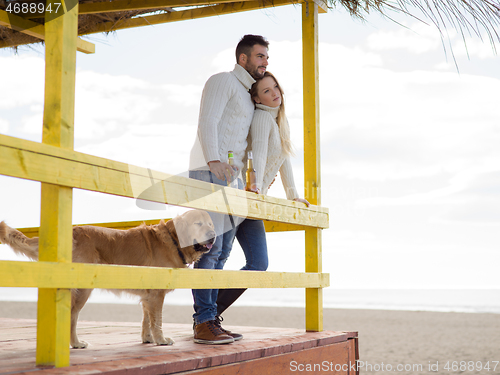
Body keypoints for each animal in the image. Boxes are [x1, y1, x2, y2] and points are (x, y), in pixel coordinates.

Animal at [0, 212, 215, 350]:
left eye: (211, 224)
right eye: (198, 224)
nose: (213, 236)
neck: (173, 239)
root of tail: (72, 232)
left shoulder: (148, 296)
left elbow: (147, 319)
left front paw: (147, 338)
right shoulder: (156, 293)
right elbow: (157, 320)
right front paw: (161, 339)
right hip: (83, 289)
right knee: (72, 316)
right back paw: (75, 343)